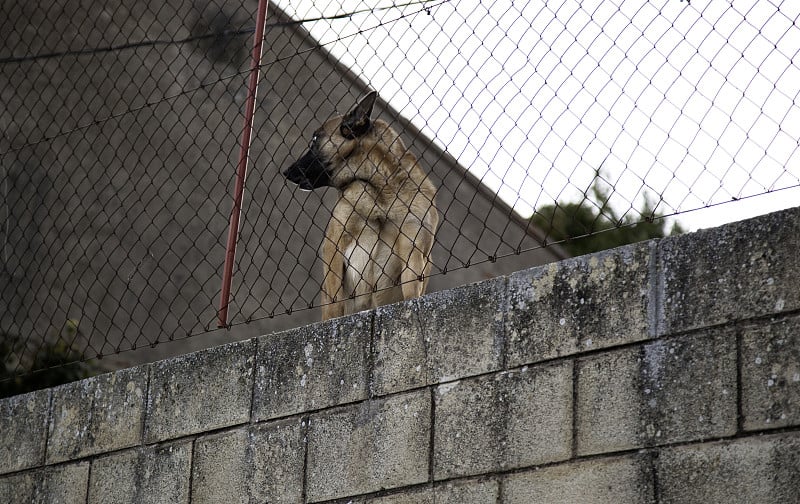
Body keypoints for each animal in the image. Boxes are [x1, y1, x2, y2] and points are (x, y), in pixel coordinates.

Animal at [284, 91, 440, 318]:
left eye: (314, 140)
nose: (285, 172)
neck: (379, 187)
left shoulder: (413, 246)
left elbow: (411, 288)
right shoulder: (334, 246)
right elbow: (335, 301)